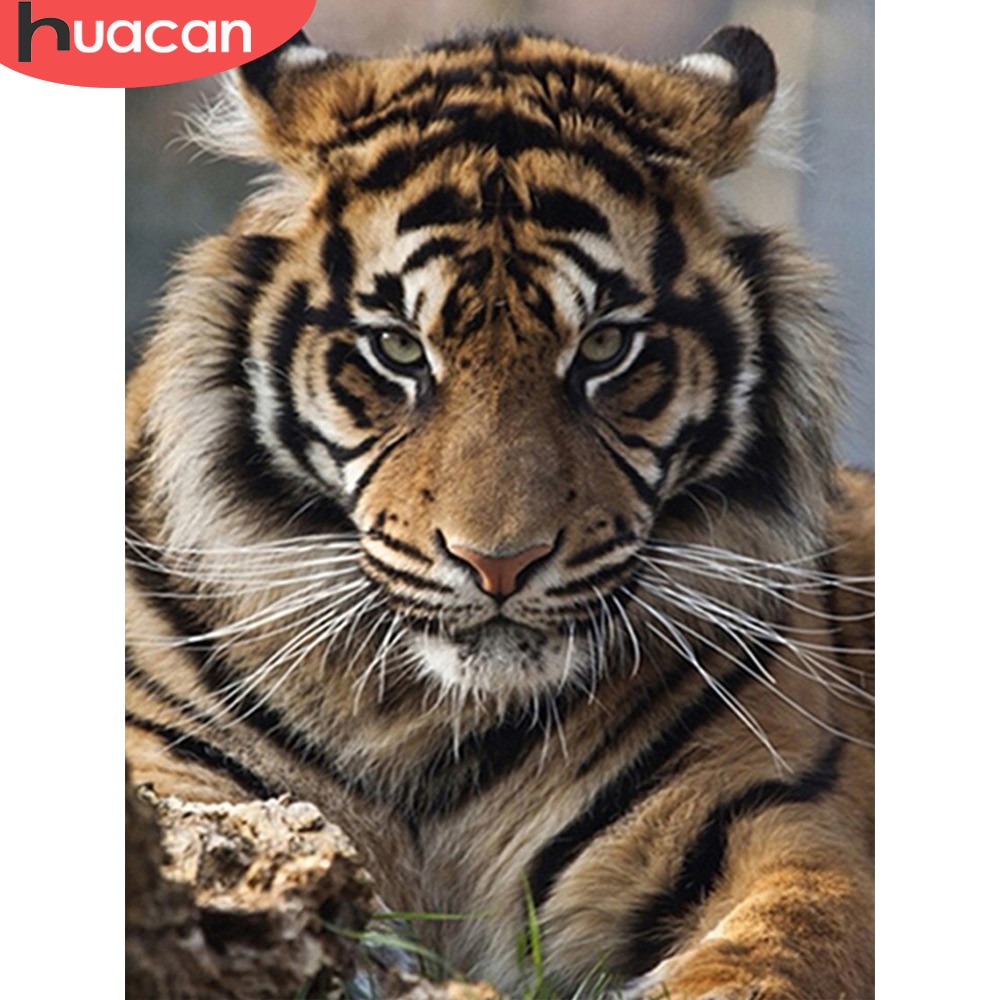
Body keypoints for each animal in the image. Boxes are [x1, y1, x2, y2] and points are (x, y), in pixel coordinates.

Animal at [125, 24, 874, 1000]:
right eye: (399, 349)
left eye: (605, 347)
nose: (499, 564)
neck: (427, 722)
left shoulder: (774, 813)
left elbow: (781, 944)